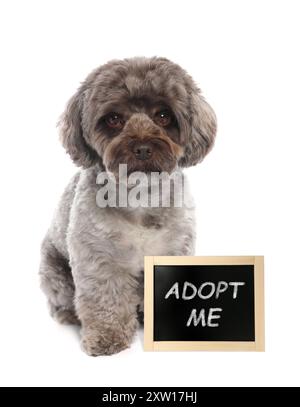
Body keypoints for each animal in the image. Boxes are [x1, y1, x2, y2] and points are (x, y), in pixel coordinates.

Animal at [39, 55, 217, 356]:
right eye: (114, 119)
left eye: (163, 115)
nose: (143, 148)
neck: (140, 199)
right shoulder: (99, 259)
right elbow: (104, 300)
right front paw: (107, 336)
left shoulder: (174, 250)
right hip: (54, 271)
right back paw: (69, 313)